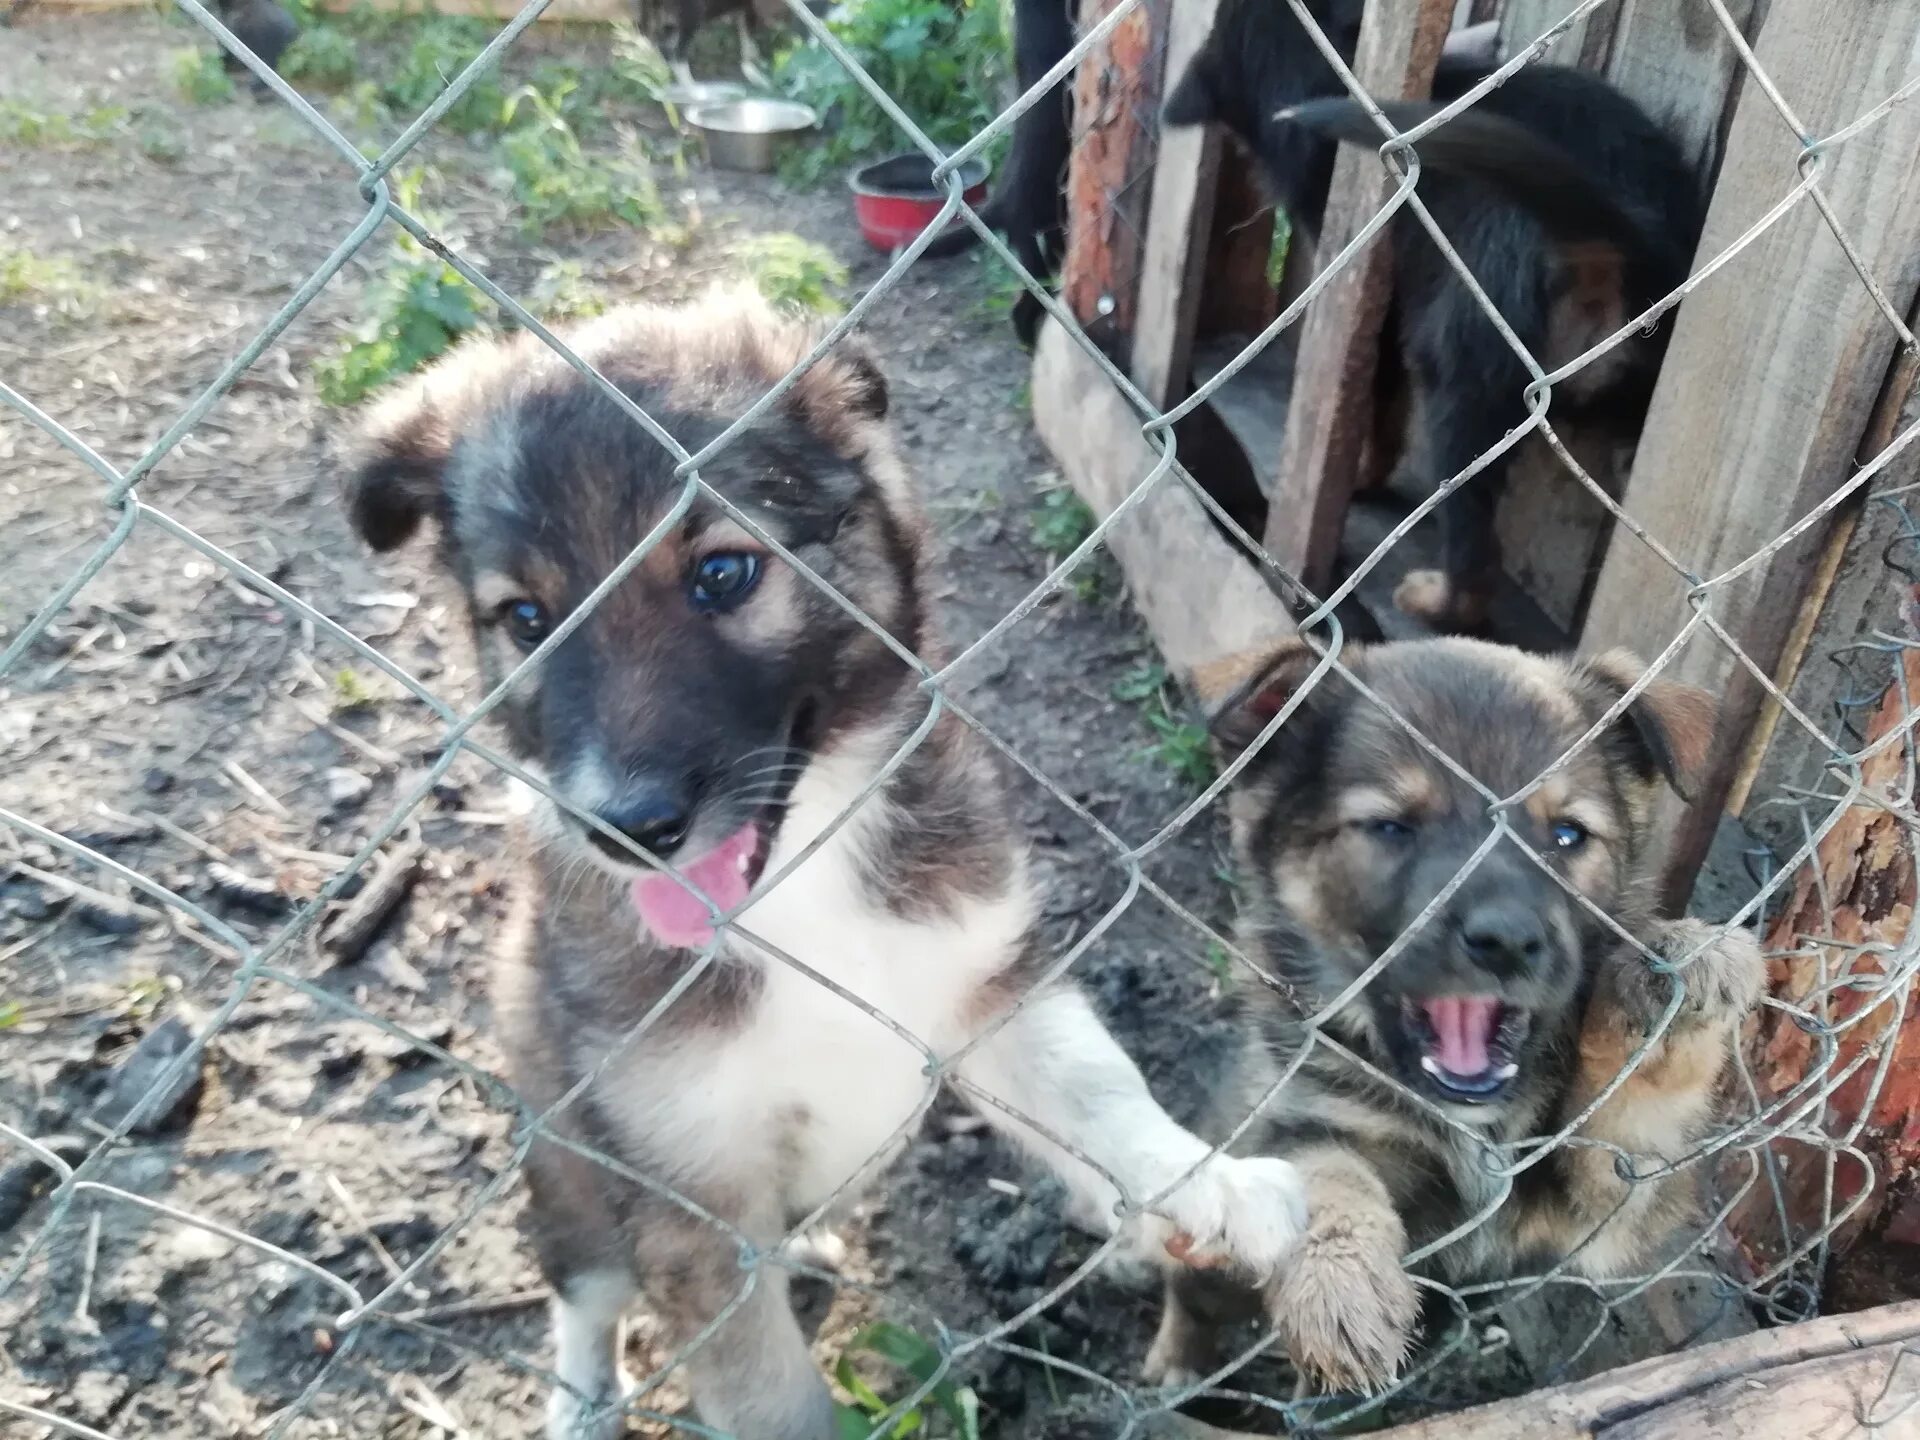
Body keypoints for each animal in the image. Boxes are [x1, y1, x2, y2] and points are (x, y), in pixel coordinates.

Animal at [341, 293, 1305, 1440]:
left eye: (723, 573)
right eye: (526, 621)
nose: (623, 829)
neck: (799, 881)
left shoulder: (986, 983)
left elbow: (1099, 1086)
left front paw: (1207, 1186)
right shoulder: (689, 1203)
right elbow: (769, 1392)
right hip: (575, 1185)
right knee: (581, 1297)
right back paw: (581, 1401)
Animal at [1144, 641, 1758, 1397]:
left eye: (1567, 834)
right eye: (1391, 827)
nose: (1509, 941)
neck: (1472, 1123)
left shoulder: (1597, 1216)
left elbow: (1634, 1136)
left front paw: (1678, 976)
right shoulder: (1296, 1119)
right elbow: (1323, 1167)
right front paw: (1340, 1287)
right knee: (1190, 1293)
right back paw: (1176, 1367)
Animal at [1159, 1, 1704, 629]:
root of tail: (1621, 240)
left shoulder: (1376, 303)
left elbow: (1374, 408)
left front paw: (1362, 476)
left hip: (1461, 379)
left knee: (1473, 562)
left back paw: (1437, 599)